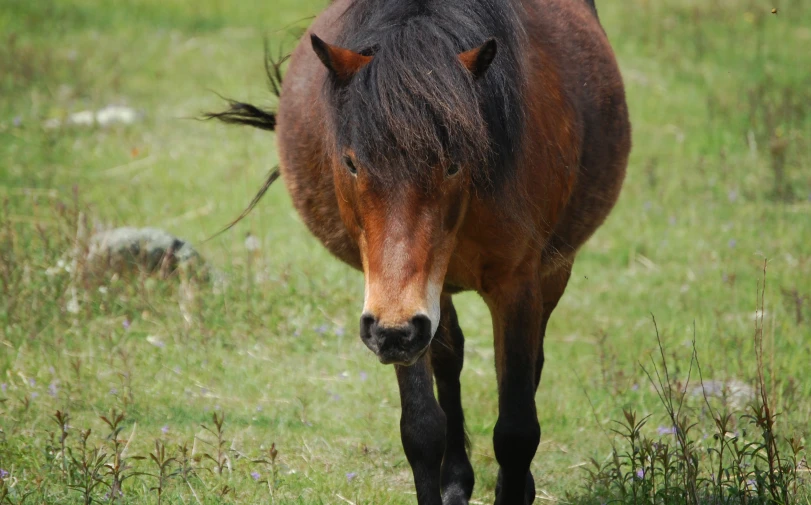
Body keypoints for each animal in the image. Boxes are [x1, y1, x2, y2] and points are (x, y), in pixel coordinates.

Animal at [208, 0, 628, 502]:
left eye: (453, 164)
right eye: (350, 162)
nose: (394, 331)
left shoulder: (518, 284)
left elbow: (516, 430)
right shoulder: (403, 306)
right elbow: (423, 429)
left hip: (549, 271)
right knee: (449, 357)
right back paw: (457, 480)